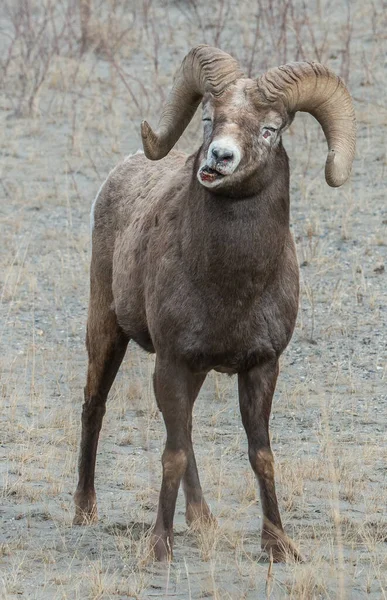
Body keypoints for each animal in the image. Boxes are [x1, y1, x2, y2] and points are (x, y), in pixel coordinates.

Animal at [74, 45, 356, 564]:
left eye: (270, 129)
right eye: (209, 118)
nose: (219, 158)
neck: (232, 287)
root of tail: (119, 175)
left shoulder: (261, 367)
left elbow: (259, 456)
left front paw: (278, 546)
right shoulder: (172, 361)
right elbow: (173, 453)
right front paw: (159, 547)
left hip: (197, 370)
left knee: (182, 431)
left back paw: (203, 519)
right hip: (106, 329)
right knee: (95, 407)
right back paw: (85, 509)